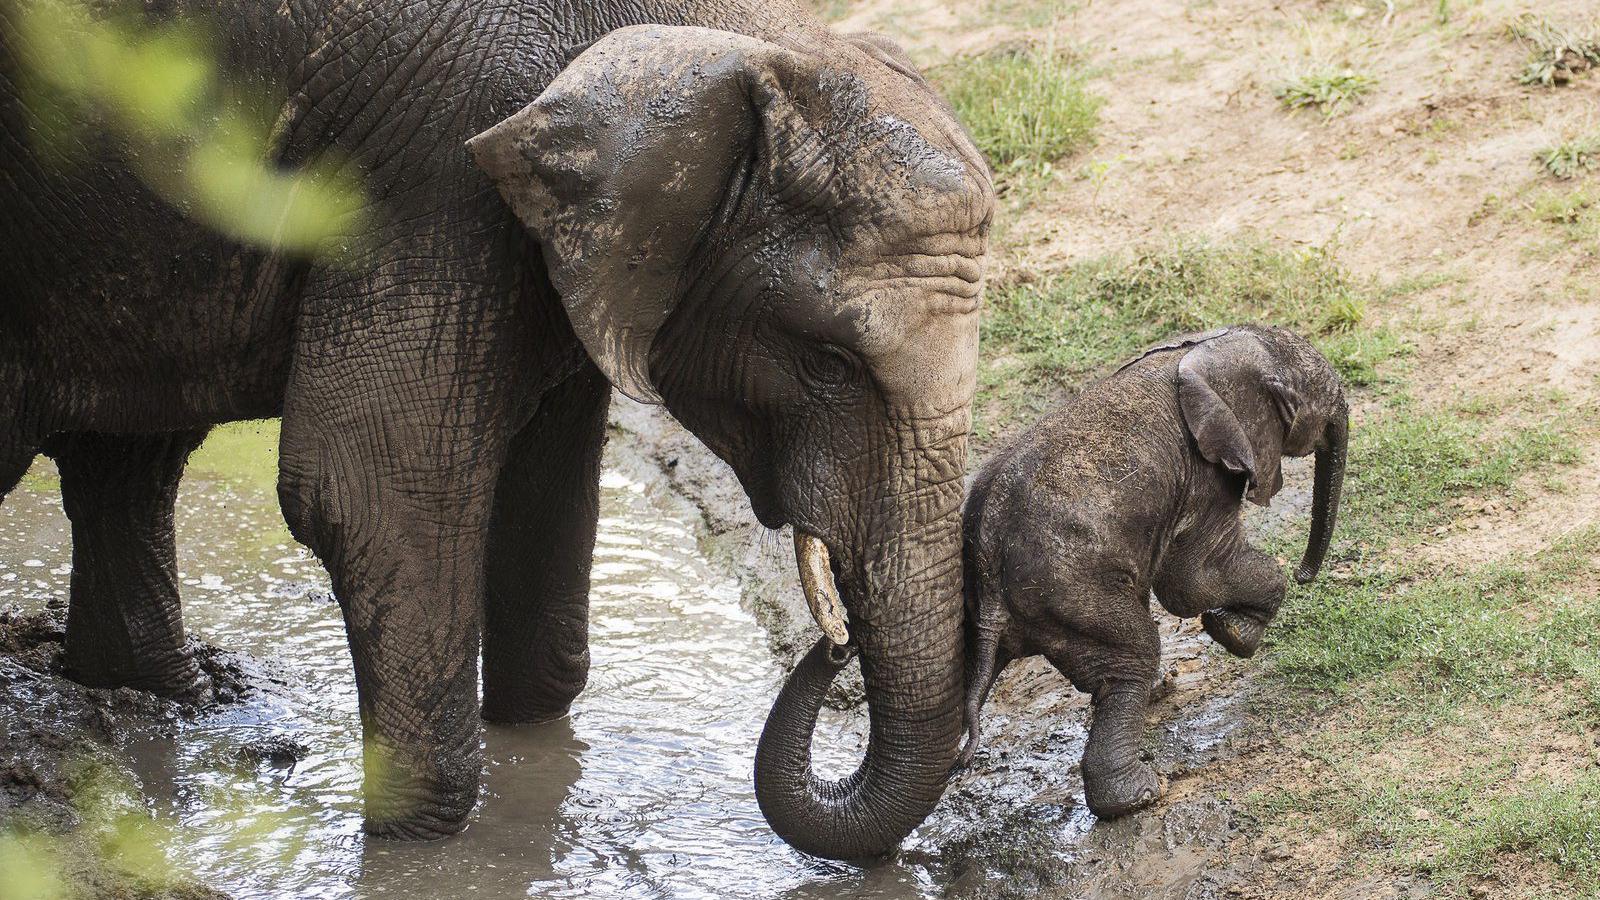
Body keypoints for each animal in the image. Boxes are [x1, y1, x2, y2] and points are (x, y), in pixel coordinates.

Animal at [0, 0, 992, 851]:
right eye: (828, 361)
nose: (834, 642)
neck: (724, 41)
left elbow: (546, 495)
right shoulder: (431, 180)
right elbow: (370, 492)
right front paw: (418, 844)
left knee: (130, 461)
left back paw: (162, 698)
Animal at [960, 321, 1350, 813]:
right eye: (1322, 401)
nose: (1304, 574)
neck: (1207, 352)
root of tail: (988, 567)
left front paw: (1232, 629)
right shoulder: (1204, 473)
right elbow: (1190, 581)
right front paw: (1236, 634)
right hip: (1071, 596)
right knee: (1134, 655)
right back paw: (1140, 793)